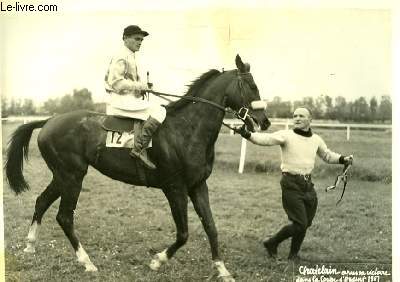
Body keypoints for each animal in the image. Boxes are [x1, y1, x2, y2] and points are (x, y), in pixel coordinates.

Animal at [4, 54, 270, 280]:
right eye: (252, 86)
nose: (265, 121)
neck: (187, 129)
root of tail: (49, 121)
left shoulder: (198, 186)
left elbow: (212, 227)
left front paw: (222, 269)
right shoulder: (175, 188)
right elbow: (183, 233)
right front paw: (157, 261)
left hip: (63, 176)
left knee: (41, 201)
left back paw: (30, 245)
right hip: (72, 176)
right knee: (64, 216)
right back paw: (87, 262)